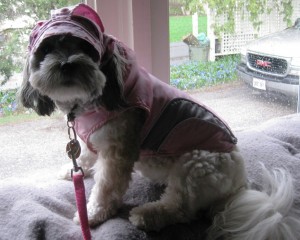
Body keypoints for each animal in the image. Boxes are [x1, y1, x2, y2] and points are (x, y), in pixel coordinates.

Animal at [19, 3, 300, 240]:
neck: (91, 99)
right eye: (47, 50)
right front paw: (77, 170)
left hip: (194, 163)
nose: (67, 64)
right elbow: (86, 154)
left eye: (86, 49)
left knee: (181, 208)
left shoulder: (118, 151)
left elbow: (106, 187)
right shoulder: (93, 138)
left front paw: (94, 214)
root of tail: (239, 186)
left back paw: (147, 214)